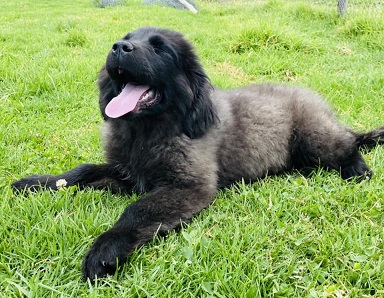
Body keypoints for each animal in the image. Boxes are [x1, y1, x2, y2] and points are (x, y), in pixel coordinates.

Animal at [12, 26, 384, 280]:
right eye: (127, 38)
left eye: (159, 48)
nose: (118, 47)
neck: (149, 131)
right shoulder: (126, 173)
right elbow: (82, 170)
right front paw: (37, 183)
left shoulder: (189, 186)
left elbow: (137, 210)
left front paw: (106, 248)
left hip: (313, 138)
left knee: (347, 145)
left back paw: (358, 169)